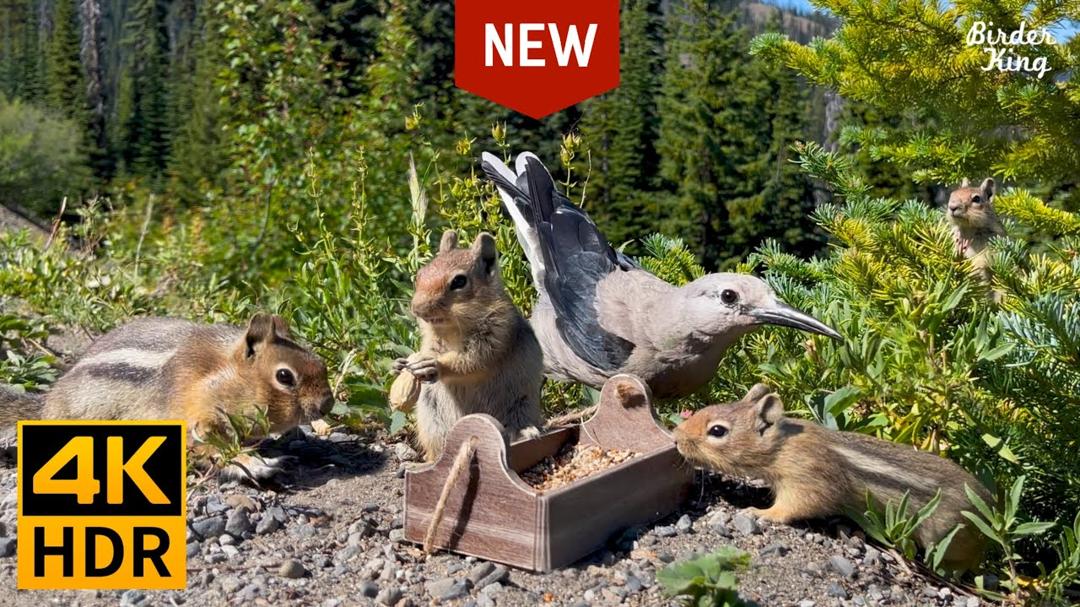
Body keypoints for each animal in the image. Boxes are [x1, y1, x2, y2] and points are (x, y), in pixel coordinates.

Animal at [1, 314, 333, 480]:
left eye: (321, 364)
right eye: (284, 376)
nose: (327, 404)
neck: (222, 376)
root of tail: (46, 405)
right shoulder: (196, 421)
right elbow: (216, 451)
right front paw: (257, 464)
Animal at [392, 230, 544, 461]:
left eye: (459, 281)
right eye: (420, 274)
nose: (417, 309)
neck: (452, 326)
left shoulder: (496, 334)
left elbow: (472, 361)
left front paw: (434, 365)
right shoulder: (432, 341)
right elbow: (426, 351)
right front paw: (401, 364)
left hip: (521, 403)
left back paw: (525, 432)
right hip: (432, 418)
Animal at [674, 384, 993, 571]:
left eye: (717, 431)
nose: (676, 439)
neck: (783, 445)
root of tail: (992, 506)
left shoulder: (807, 481)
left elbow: (792, 507)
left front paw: (759, 511)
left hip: (949, 540)